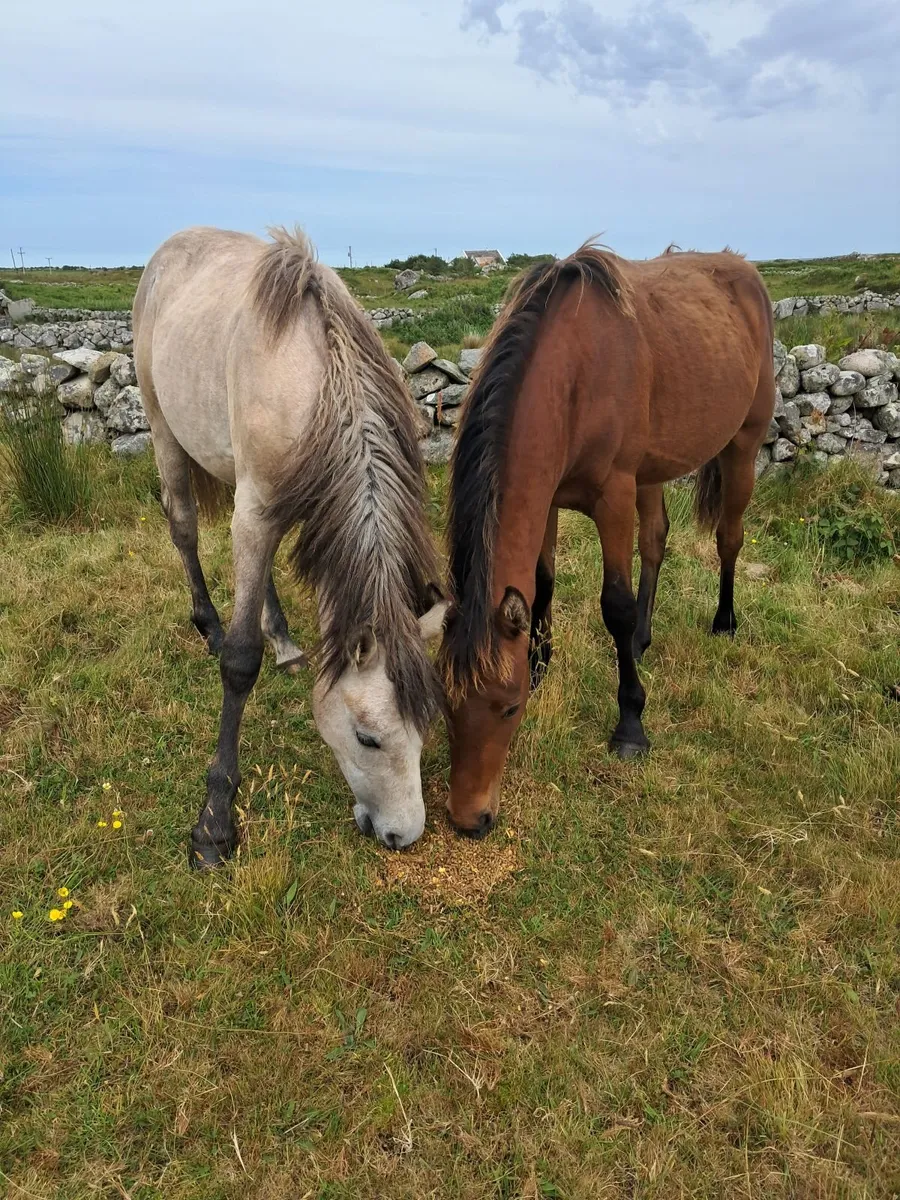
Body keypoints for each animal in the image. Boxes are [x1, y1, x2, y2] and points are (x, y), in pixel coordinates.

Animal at [133, 226, 447, 867]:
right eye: (368, 738)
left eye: (427, 727)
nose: (404, 835)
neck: (317, 379)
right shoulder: (255, 513)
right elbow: (239, 663)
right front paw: (214, 824)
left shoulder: (280, 511)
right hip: (165, 435)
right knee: (184, 530)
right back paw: (208, 623)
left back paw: (282, 639)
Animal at [439, 242, 775, 836]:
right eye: (444, 703)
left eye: (508, 708)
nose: (468, 818)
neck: (575, 373)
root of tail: (745, 272)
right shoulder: (549, 495)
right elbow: (542, 581)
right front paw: (540, 662)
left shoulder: (614, 498)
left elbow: (613, 603)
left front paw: (630, 723)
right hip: (654, 468)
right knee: (657, 541)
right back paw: (642, 637)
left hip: (742, 445)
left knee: (729, 539)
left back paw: (724, 621)